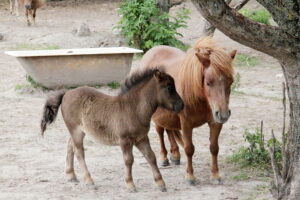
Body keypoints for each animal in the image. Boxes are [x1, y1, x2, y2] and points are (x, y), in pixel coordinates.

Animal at [39, 69, 184, 192]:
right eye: (169, 87)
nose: (181, 105)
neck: (133, 108)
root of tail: (66, 94)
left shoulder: (142, 138)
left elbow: (151, 157)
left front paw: (161, 184)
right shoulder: (125, 140)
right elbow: (129, 160)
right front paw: (130, 184)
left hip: (79, 131)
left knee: (70, 146)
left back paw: (71, 176)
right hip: (76, 130)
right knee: (79, 152)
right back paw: (89, 180)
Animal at [140, 37, 237, 184]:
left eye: (230, 81)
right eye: (208, 82)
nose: (224, 115)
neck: (200, 97)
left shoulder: (215, 122)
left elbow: (214, 148)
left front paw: (215, 175)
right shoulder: (186, 123)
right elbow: (189, 148)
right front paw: (190, 176)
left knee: (169, 129)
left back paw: (175, 154)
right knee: (160, 131)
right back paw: (164, 158)